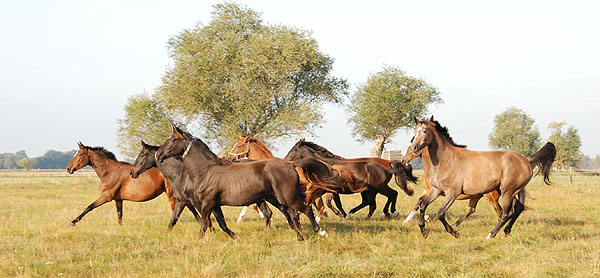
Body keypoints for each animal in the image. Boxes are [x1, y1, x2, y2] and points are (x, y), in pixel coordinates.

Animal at [155, 125, 342, 240]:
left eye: (173, 139)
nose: (158, 154)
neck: (206, 171)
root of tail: (291, 164)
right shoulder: (215, 205)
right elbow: (221, 224)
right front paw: (236, 237)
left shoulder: (206, 204)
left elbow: (204, 225)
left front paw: (200, 241)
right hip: (282, 198)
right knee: (294, 215)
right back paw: (300, 237)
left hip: (287, 197)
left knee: (306, 210)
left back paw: (321, 232)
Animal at [282, 140, 418, 220]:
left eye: (293, 151)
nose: (284, 160)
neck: (325, 165)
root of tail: (388, 165)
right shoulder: (328, 190)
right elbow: (327, 202)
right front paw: (337, 214)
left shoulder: (333, 190)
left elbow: (335, 203)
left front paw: (341, 214)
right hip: (376, 189)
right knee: (388, 196)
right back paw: (388, 212)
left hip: (376, 189)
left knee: (375, 202)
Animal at [406, 116, 556, 238]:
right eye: (415, 131)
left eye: (425, 131)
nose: (413, 148)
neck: (446, 160)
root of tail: (527, 160)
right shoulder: (436, 190)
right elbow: (422, 204)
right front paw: (424, 231)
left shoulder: (452, 193)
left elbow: (441, 213)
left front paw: (455, 233)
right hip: (507, 191)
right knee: (518, 208)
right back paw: (506, 231)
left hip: (507, 191)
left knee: (506, 213)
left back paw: (491, 234)